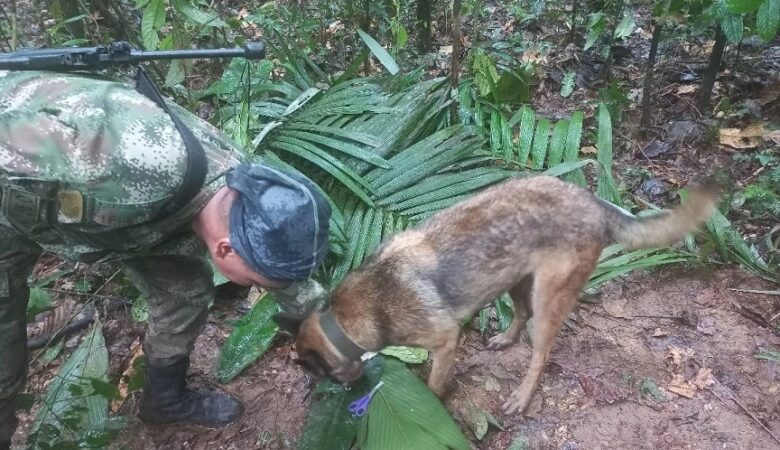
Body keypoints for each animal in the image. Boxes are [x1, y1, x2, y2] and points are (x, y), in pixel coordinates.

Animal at [276, 175, 720, 414]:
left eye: (319, 374)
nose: (343, 393)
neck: (347, 318)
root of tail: (593, 201)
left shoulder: (445, 341)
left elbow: (434, 384)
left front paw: (433, 402)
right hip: (514, 280)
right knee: (519, 314)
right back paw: (505, 339)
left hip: (547, 297)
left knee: (540, 352)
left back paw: (522, 396)